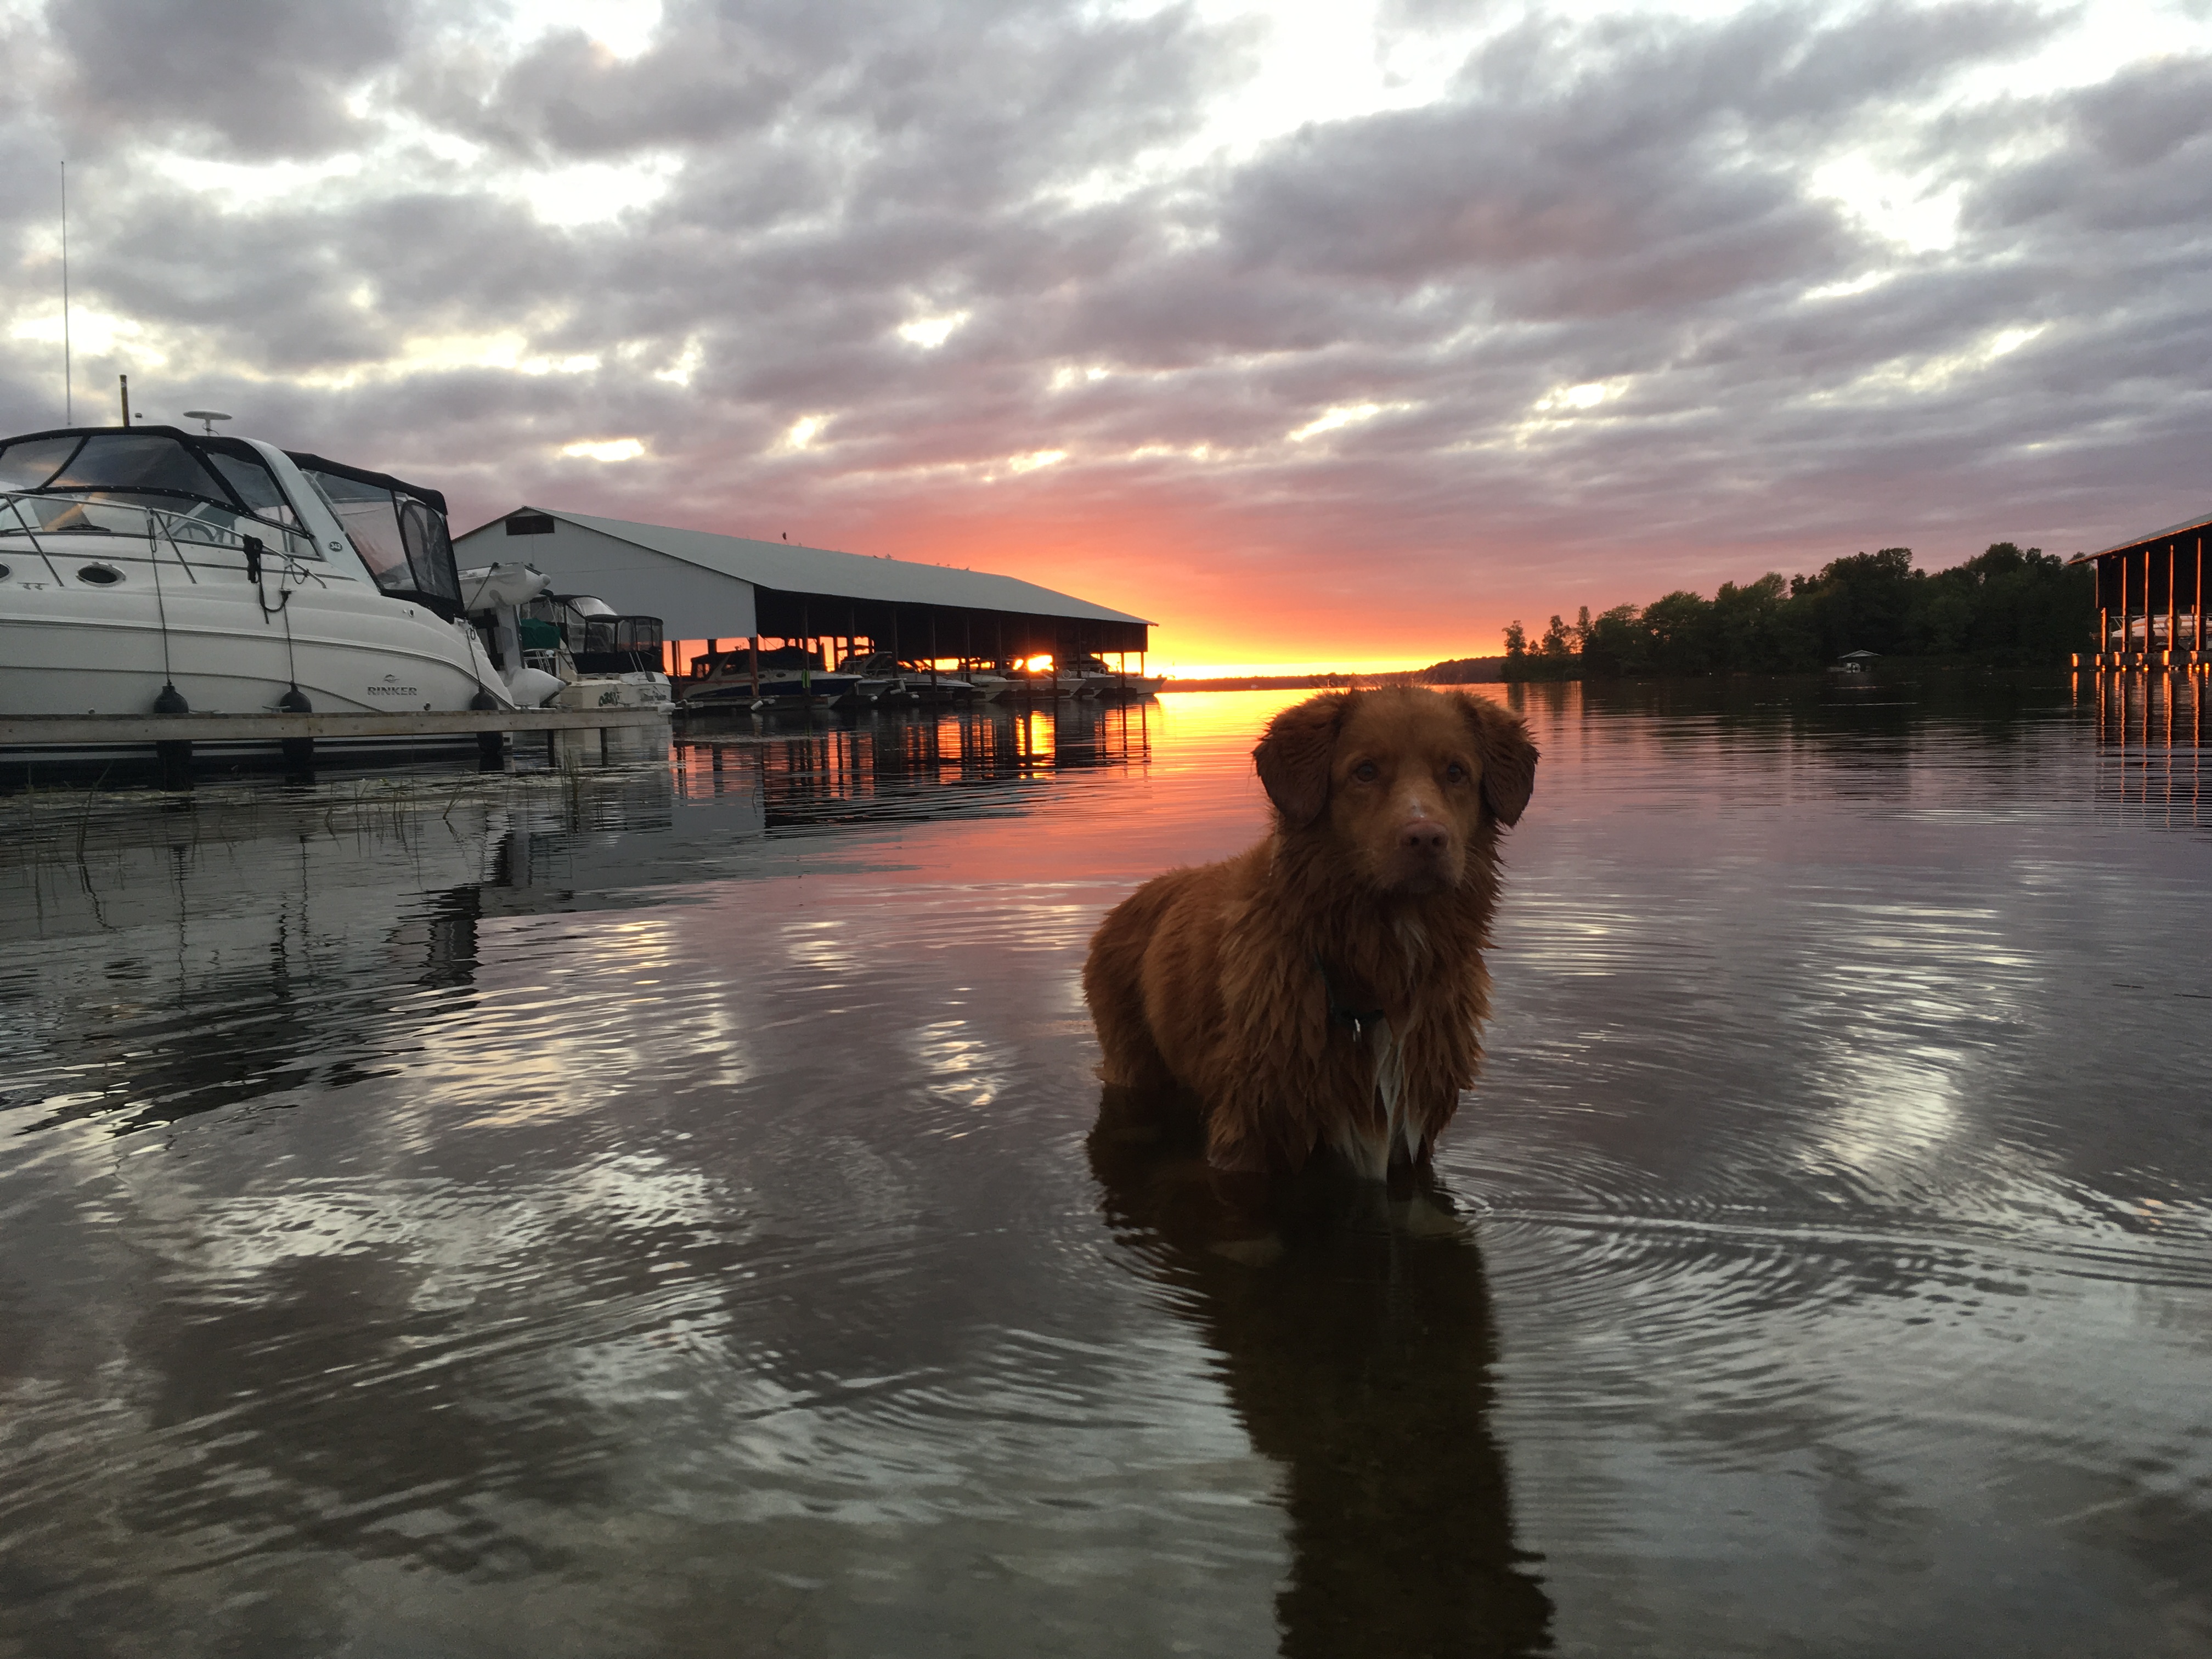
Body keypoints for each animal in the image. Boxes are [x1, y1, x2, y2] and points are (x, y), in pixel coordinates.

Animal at [1075, 690, 1531, 1186]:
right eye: (1365, 771)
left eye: (1456, 772)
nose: (1427, 837)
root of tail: (1126, 903)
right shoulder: (1252, 1130)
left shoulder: (1412, 1136)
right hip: (1134, 1061)